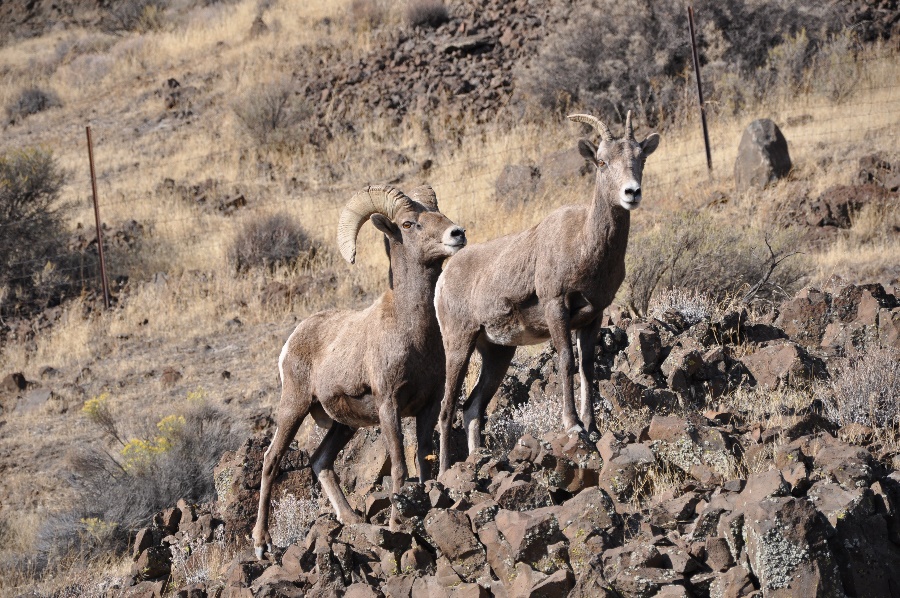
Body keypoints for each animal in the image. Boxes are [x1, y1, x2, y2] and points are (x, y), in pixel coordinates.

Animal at [253, 185, 466, 558]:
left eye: (439, 213)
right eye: (408, 224)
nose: (457, 234)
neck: (414, 331)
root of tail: (292, 340)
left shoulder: (427, 407)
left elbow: (422, 461)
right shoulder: (388, 405)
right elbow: (400, 467)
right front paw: (397, 525)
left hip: (342, 425)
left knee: (320, 461)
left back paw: (351, 520)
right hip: (294, 408)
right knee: (271, 460)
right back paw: (262, 544)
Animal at [435, 112, 660, 473]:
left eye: (640, 159)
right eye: (601, 161)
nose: (632, 193)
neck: (584, 245)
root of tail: (444, 277)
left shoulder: (593, 317)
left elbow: (587, 367)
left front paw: (592, 427)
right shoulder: (557, 308)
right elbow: (567, 361)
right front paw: (573, 425)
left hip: (497, 353)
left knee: (472, 408)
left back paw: (477, 460)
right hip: (459, 344)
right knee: (446, 409)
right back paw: (444, 473)